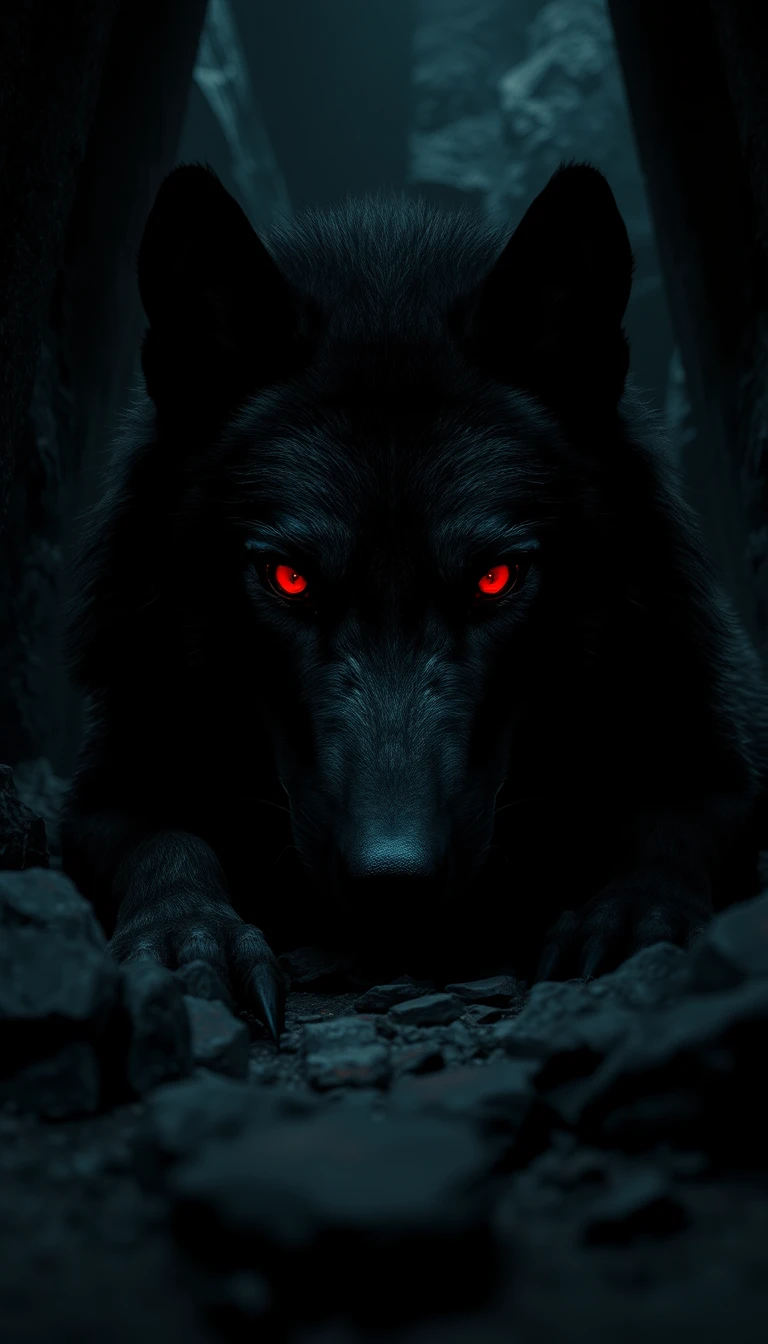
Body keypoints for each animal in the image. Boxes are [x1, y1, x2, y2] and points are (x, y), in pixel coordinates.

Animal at [60, 162, 768, 1039]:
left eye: (494, 579)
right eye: (289, 579)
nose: (393, 877)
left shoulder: (722, 739)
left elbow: (675, 825)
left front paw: (637, 920)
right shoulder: (106, 781)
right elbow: (163, 842)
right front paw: (187, 937)